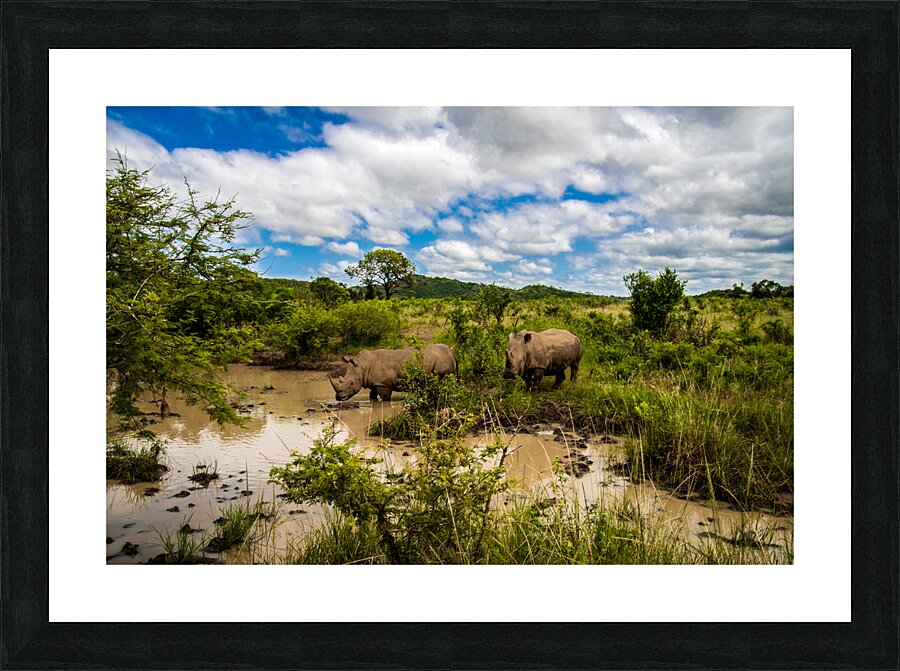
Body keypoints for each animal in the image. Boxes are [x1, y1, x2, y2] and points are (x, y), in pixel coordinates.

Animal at [328, 344, 457, 402]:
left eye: (351, 383)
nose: (339, 397)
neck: (362, 366)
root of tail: (451, 352)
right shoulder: (375, 383)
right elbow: (372, 396)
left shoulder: (384, 385)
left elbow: (385, 398)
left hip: (440, 362)